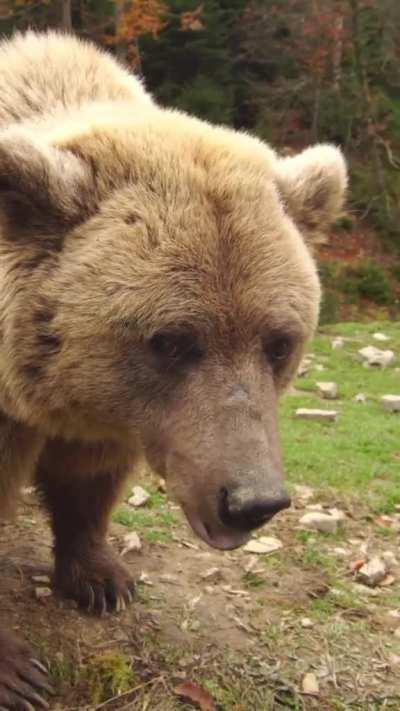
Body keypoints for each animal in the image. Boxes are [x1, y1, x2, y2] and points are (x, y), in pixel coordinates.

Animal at [0, 30, 347, 708]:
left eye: (278, 343)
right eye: (173, 341)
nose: (251, 501)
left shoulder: (109, 413)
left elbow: (89, 476)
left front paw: (103, 579)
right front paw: (19, 673)